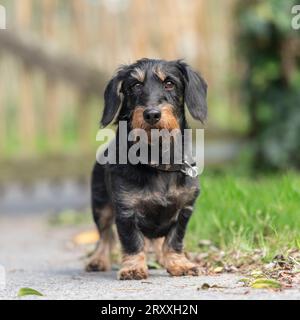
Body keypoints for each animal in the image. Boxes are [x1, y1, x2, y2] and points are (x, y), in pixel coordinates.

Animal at [86, 58, 207, 278]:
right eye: (135, 85)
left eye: (169, 83)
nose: (151, 114)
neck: (157, 160)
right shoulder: (126, 211)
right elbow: (132, 241)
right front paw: (133, 267)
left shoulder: (184, 209)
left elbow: (174, 241)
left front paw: (180, 264)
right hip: (101, 207)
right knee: (105, 236)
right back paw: (98, 260)